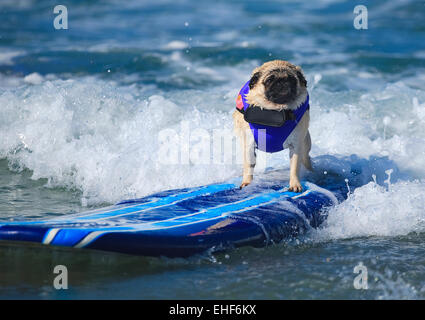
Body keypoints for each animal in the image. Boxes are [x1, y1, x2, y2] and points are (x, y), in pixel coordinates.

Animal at [232, 59, 312, 192]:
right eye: (270, 80)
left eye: (292, 79)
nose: (282, 81)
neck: (275, 110)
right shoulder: (249, 144)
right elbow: (249, 166)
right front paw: (247, 183)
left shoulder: (296, 145)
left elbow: (295, 167)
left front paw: (295, 184)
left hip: (305, 144)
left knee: (306, 159)